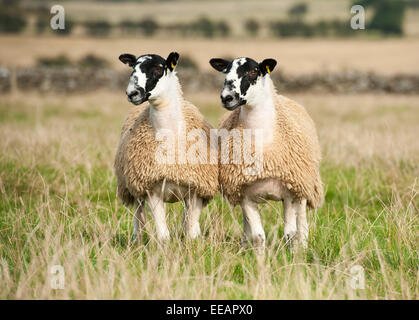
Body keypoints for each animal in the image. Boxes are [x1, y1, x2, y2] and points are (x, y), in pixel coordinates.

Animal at [115, 52, 218, 241]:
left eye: (158, 69)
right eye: (133, 69)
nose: (132, 93)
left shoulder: (196, 190)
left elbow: (190, 230)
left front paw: (194, 243)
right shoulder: (151, 190)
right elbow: (163, 233)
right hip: (134, 188)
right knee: (139, 215)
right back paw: (137, 240)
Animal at [210, 57, 324, 251]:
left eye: (253, 71)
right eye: (226, 72)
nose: (227, 97)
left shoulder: (289, 192)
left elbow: (290, 233)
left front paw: (293, 256)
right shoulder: (244, 192)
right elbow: (257, 236)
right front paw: (259, 257)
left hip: (302, 186)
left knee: (301, 224)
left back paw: (303, 247)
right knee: (247, 227)